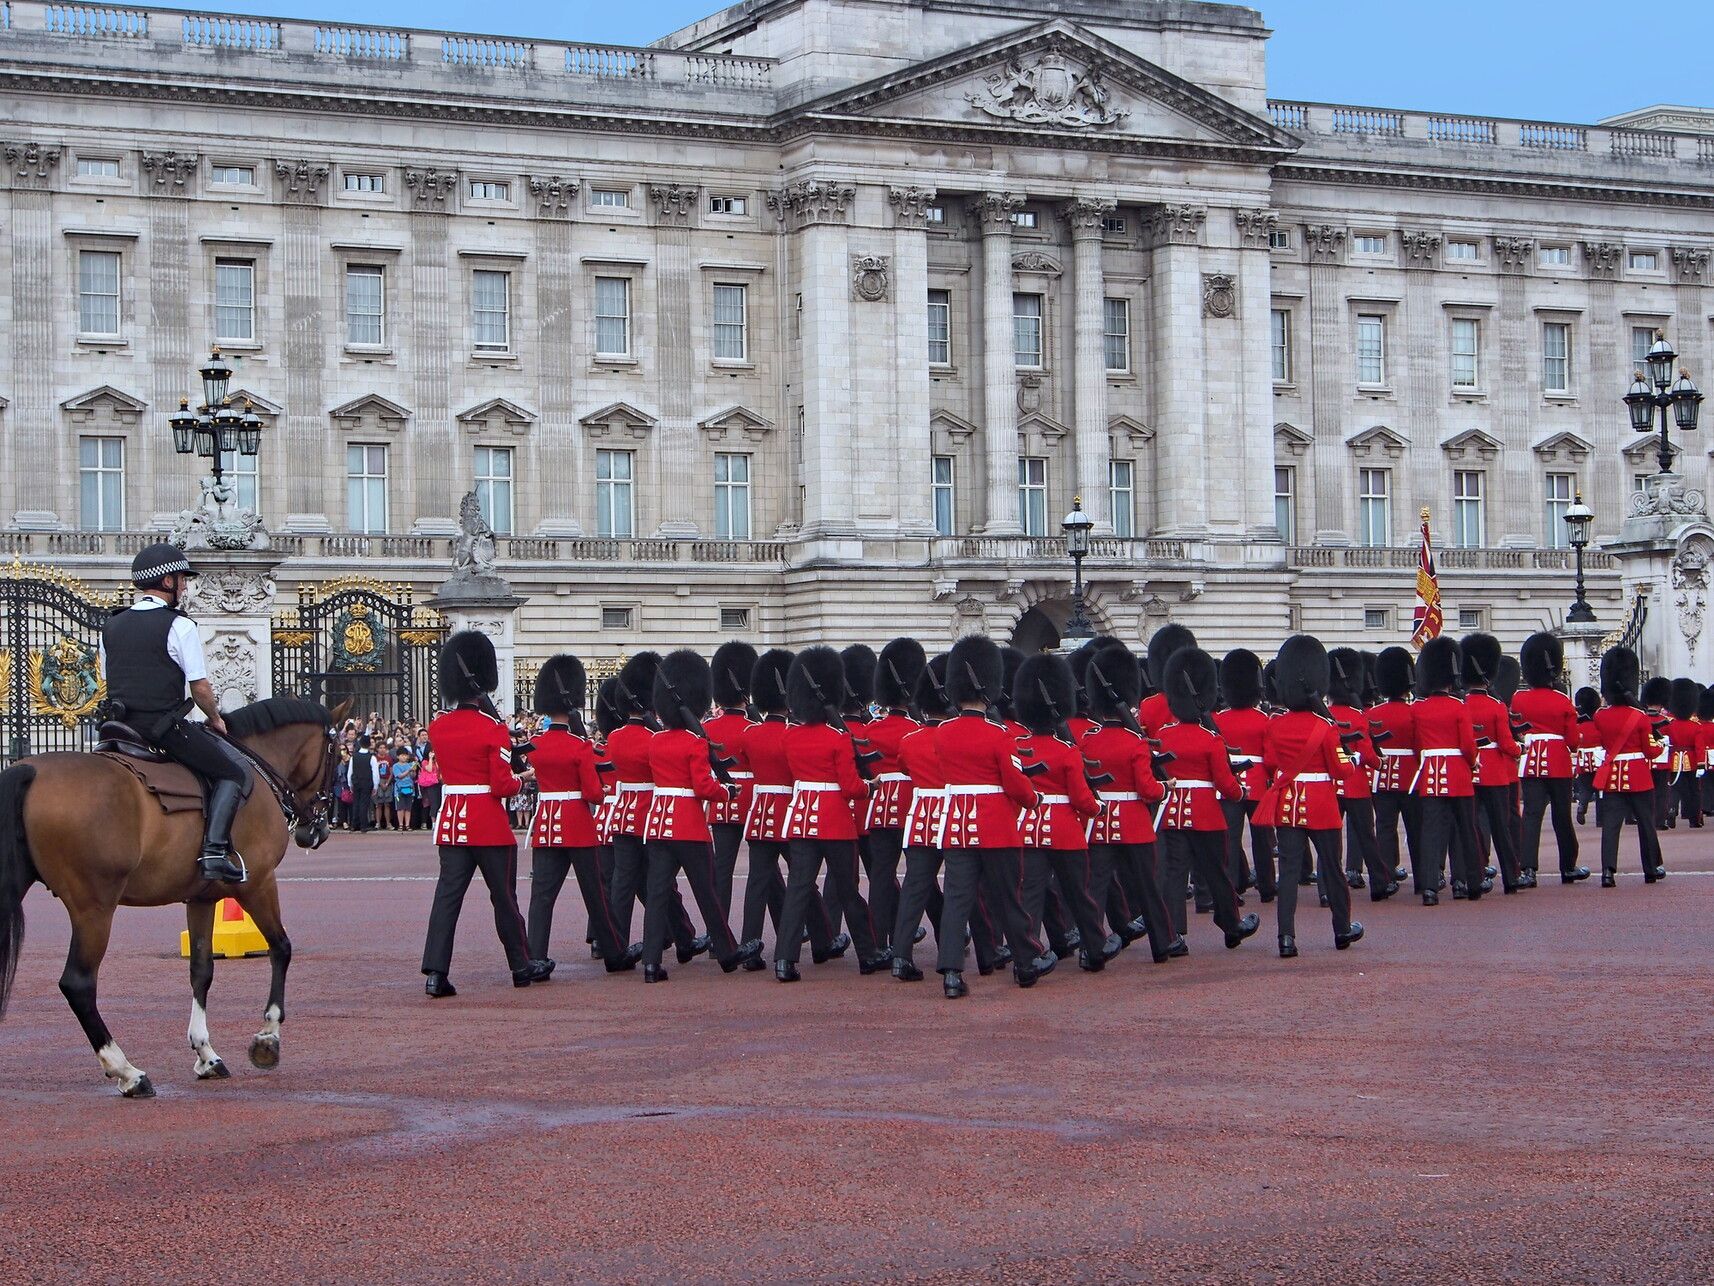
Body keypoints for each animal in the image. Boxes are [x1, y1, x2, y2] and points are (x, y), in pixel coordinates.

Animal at [0, 699, 344, 1104]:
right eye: (337, 754)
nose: (315, 831)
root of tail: (28, 768)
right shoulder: (258, 883)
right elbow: (281, 948)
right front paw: (268, 1038)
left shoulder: (201, 898)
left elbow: (201, 970)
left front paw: (206, 1054)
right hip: (94, 909)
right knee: (78, 984)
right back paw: (128, 1072)